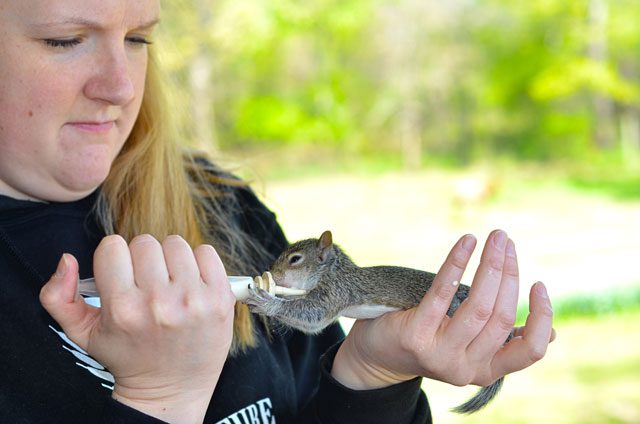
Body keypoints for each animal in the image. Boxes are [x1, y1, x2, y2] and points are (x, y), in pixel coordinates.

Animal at [246, 230, 510, 412]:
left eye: (295, 259)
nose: (271, 272)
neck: (332, 272)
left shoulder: (335, 292)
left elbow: (314, 315)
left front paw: (268, 303)